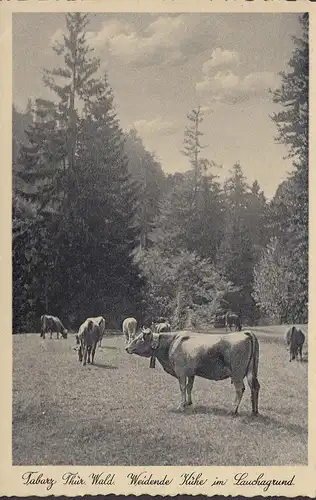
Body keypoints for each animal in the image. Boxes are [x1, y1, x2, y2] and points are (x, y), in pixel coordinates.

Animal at [124, 328, 260, 414]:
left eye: (140, 339)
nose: (126, 348)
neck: (172, 343)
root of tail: (245, 332)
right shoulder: (191, 373)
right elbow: (190, 387)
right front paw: (188, 402)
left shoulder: (181, 372)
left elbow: (183, 387)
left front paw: (180, 406)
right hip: (252, 372)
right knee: (255, 387)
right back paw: (254, 410)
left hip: (237, 374)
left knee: (240, 389)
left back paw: (233, 410)